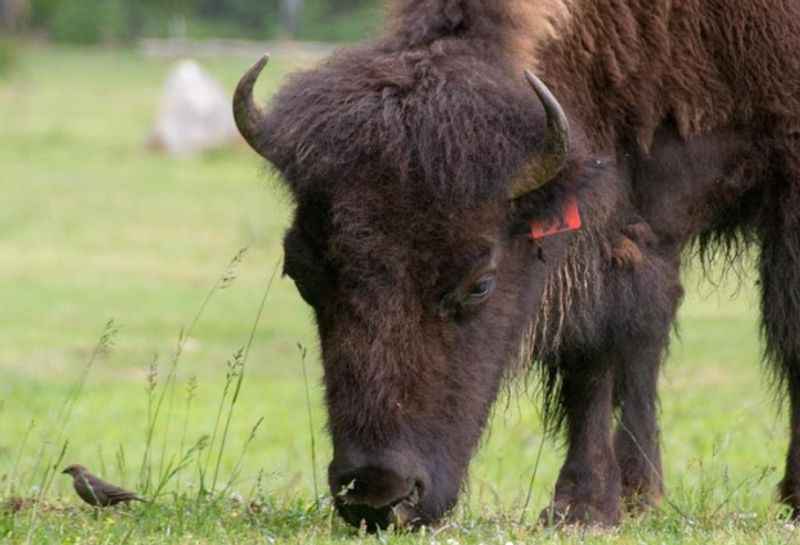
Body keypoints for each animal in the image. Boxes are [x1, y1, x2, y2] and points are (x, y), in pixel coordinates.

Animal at [230, 0, 800, 528]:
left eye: (480, 284)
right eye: (301, 274)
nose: (377, 493)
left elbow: (785, 332)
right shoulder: (621, 218)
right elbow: (598, 351)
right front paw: (586, 506)